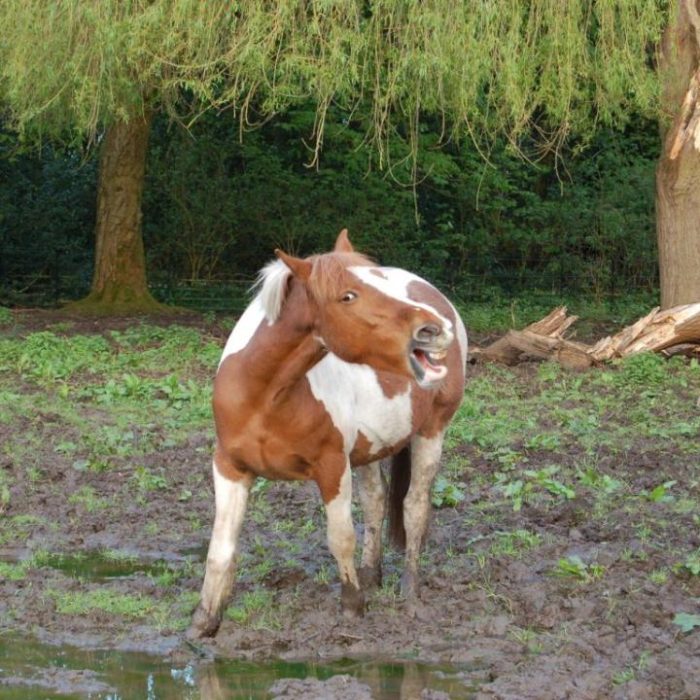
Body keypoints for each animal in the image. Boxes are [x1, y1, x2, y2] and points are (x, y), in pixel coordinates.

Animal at [189, 231, 468, 640]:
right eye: (347, 296)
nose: (433, 329)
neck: (264, 396)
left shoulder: (332, 466)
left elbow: (341, 538)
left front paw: (353, 608)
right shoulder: (229, 467)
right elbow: (221, 548)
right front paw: (203, 623)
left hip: (432, 432)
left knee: (414, 508)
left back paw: (409, 593)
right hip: (370, 448)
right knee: (376, 501)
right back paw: (371, 576)